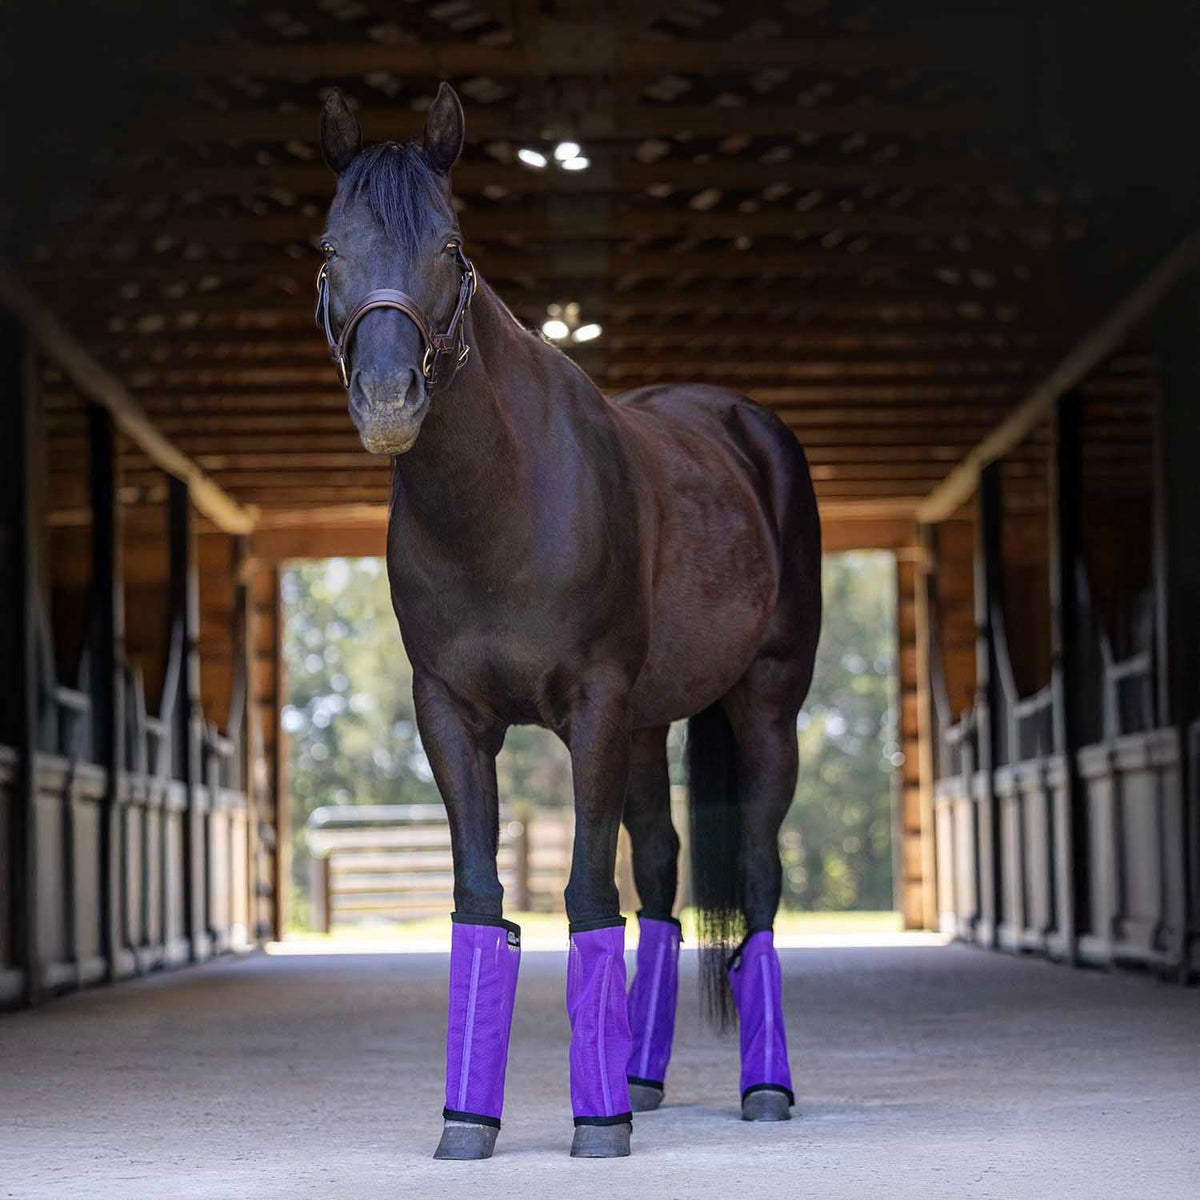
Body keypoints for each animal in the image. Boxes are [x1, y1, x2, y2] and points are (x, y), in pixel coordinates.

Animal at [315, 83, 822, 1160]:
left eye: (453, 246)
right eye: (331, 248)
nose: (388, 401)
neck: (499, 504)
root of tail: (746, 425)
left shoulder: (592, 706)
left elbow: (588, 895)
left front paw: (598, 1125)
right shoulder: (452, 716)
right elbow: (480, 900)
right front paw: (469, 1120)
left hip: (765, 707)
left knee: (758, 877)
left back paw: (763, 1089)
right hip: (648, 725)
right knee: (665, 878)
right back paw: (641, 1074)